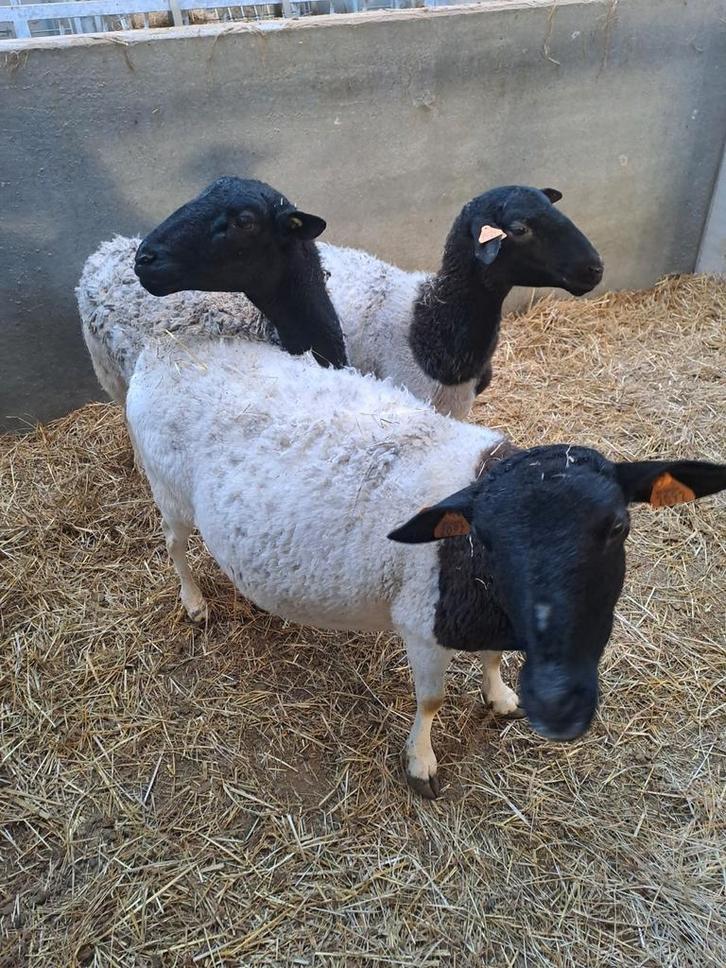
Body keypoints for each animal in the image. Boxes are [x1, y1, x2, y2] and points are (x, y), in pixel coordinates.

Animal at [79, 178, 602, 420]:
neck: (430, 324)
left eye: (243, 220)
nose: (595, 267)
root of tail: (105, 248)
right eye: (519, 228)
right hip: (111, 377)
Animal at [126, 335, 726, 798]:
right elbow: (431, 701)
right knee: (175, 546)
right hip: (168, 488)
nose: (559, 705)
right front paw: (421, 763)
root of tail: (164, 349)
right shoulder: (421, 624)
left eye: (618, 527)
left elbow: (491, 658)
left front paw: (500, 696)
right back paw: (195, 603)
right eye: (487, 539)